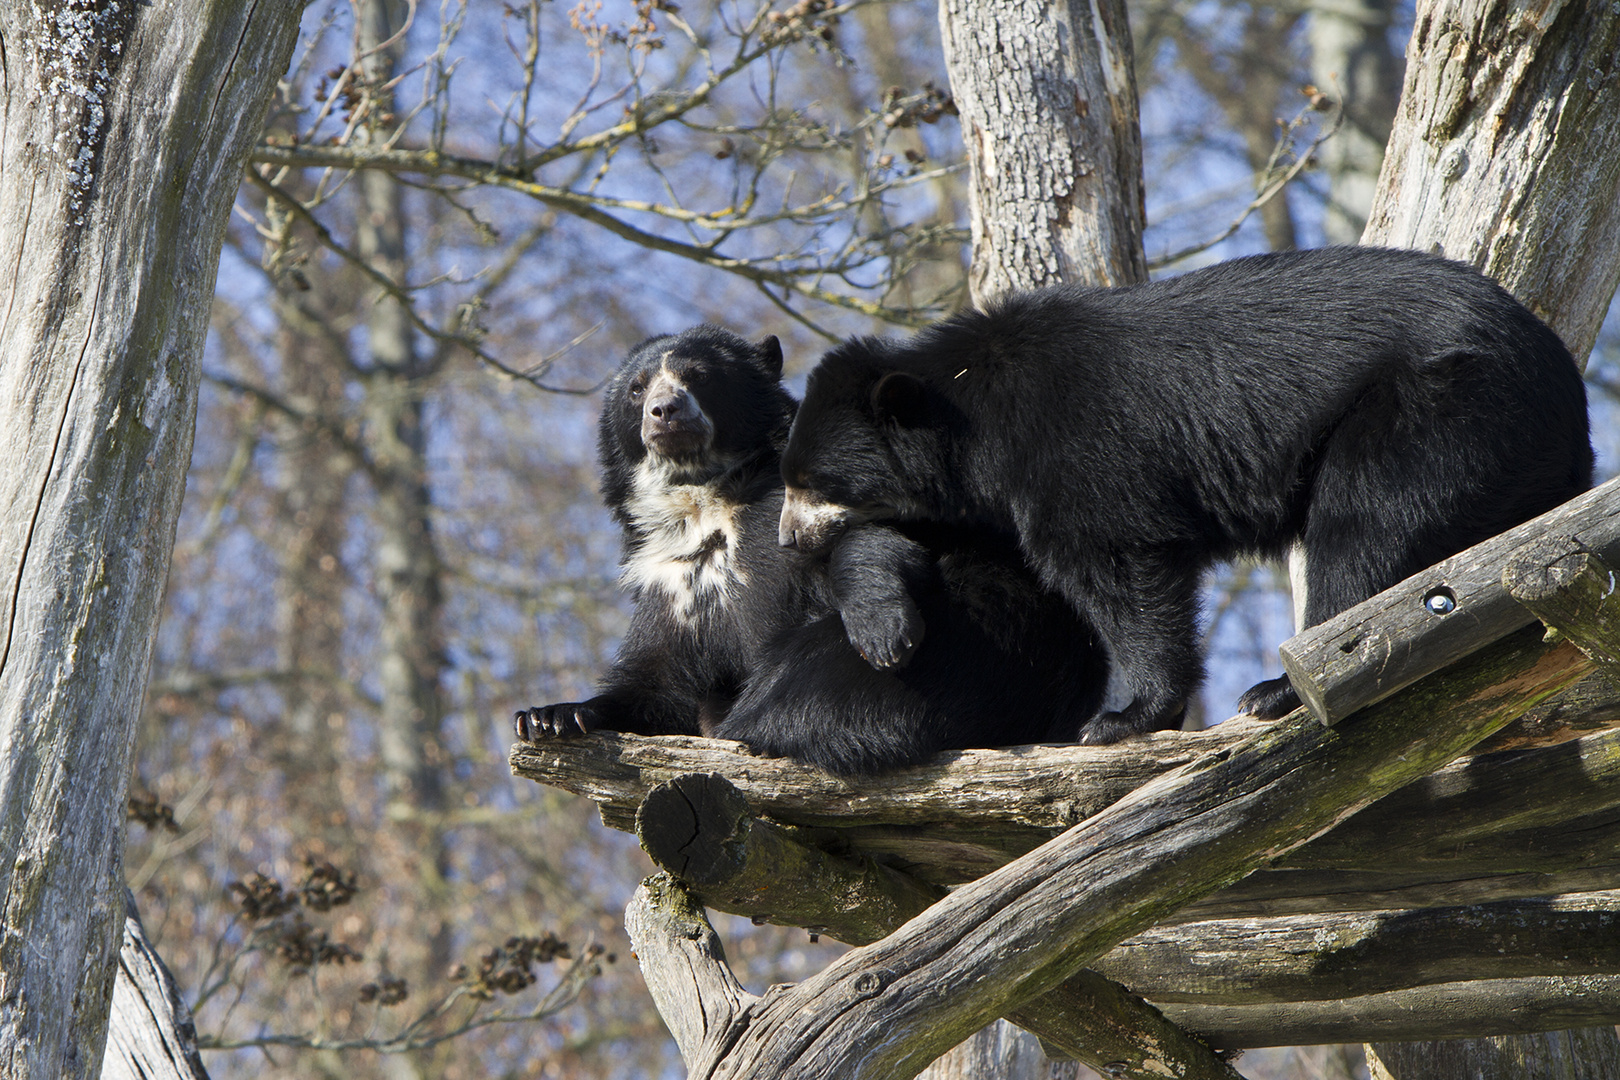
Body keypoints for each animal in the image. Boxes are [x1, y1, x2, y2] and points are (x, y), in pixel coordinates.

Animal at [511, 325, 1108, 773]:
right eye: (636, 389)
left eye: (699, 377)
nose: (665, 412)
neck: (705, 503)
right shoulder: (671, 583)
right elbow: (657, 681)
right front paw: (551, 717)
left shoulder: (800, 506)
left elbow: (871, 541)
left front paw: (882, 628)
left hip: (982, 644)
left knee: (822, 686)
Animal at [774, 244, 1594, 744]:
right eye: (791, 481)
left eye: (812, 483)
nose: (786, 538)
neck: (973, 411)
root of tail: (1562, 383)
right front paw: (884, 626)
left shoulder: (1074, 454)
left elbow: (1116, 567)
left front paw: (1122, 717)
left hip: (1438, 415)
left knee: (1368, 528)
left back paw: (1280, 688)